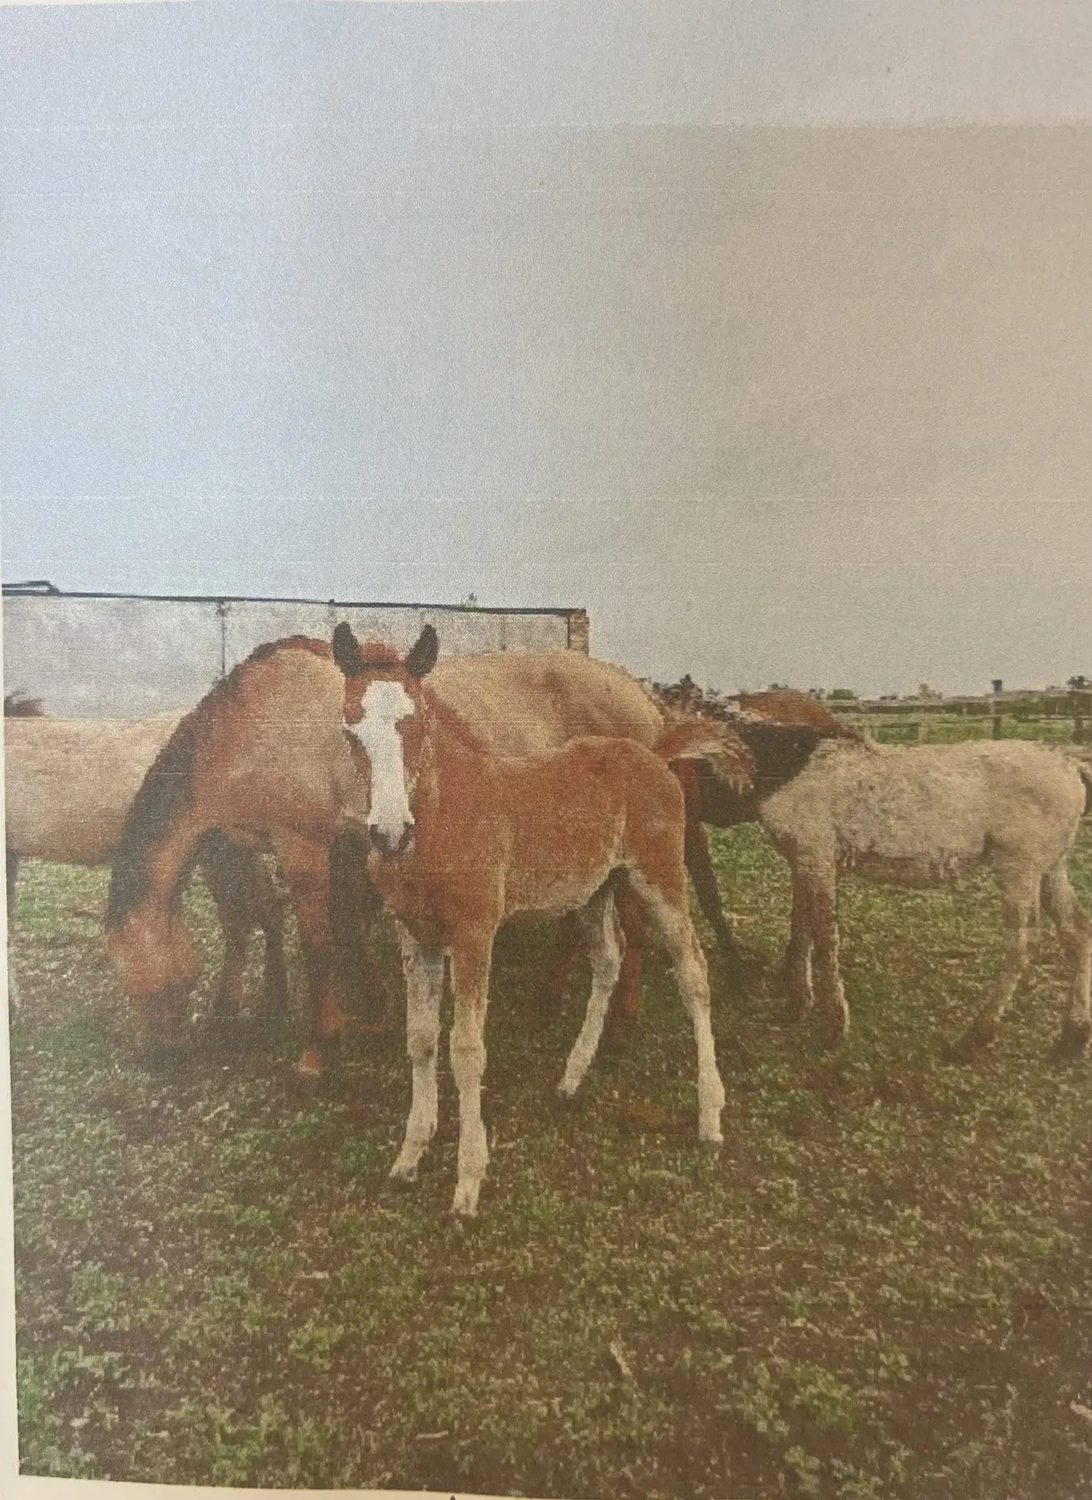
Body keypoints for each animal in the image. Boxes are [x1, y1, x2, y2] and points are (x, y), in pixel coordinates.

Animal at [4, 702, 288, 1029]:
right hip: (234, 849)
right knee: (266, 908)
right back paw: (273, 1002)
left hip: (220, 851)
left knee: (242, 919)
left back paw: (229, 1009)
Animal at [331, 621, 740, 1215]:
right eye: (350, 730)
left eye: (418, 723)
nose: (388, 834)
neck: (443, 815)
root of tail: (653, 751)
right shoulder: (415, 935)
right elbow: (421, 1039)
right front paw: (409, 1156)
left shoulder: (475, 932)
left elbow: (466, 1049)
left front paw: (468, 1183)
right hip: (595, 889)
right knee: (609, 959)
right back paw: (572, 1077)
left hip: (659, 877)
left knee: (693, 974)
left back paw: (710, 1117)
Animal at [758, 736, 1092, 1059]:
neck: (798, 765)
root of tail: (1069, 766)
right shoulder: (802, 864)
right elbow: (802, 928)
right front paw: (797, 1005)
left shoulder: (817, 861)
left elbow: (824, 939)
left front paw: (834, 1027)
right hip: (1051, 870)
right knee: (1077, 932)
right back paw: (1072, 1035)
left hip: (1019, 870)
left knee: (1021, 947)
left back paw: (974, 1038)